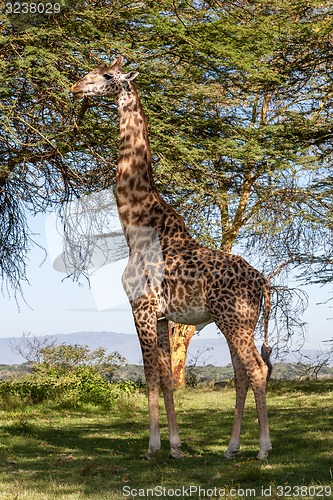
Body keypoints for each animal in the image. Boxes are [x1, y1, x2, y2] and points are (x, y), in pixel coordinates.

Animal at [70, 55, 272, 460]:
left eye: (106, 75)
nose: (75, 87)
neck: (137, 224)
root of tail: (262, 283)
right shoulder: (163, 316)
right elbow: (165, 376)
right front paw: (175, 446)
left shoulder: (141, 306)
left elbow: (150, 374)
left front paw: (152, 445)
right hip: (240, 321)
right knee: (242, 373)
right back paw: (231, 448)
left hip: (234, 318)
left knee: (257, 370)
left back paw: (262, 449)